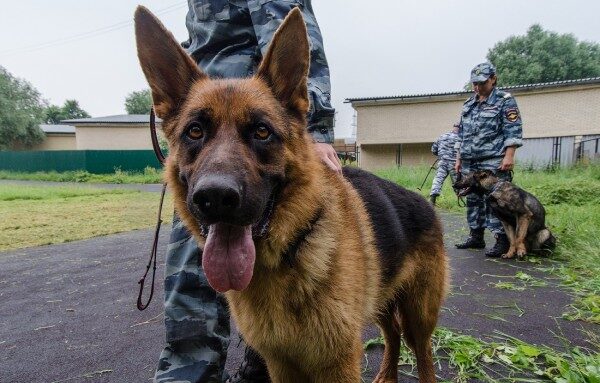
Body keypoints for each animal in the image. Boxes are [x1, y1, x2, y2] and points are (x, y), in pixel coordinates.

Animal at [135, 6, 446, 383]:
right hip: (382, 301)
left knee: (422, 352)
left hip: (420, 316)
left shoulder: (338, 363)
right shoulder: (281, 363)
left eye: (262, 131)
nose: (215, 197)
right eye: (195, 131)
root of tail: (423, 201)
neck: (287, 254)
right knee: (392, 334)